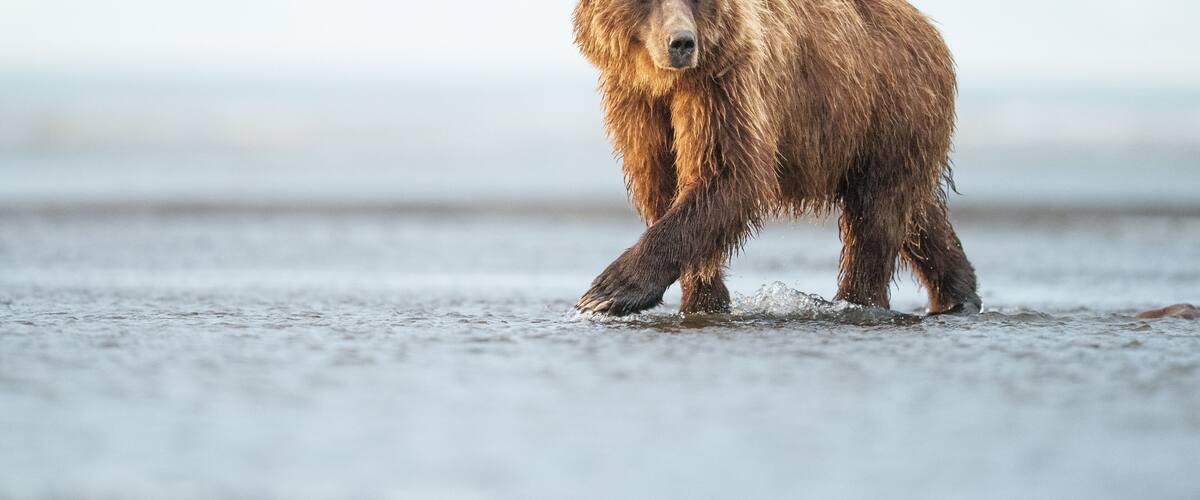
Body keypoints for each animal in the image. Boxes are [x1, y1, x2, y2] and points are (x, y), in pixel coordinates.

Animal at [572, 0, 981, 316]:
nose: (682, 43)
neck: (665, 82)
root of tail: (928, 26)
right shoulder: (638, 104)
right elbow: (663, 185)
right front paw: (706, 300)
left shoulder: (726, 87)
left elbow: (729, 175)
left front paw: (606, 292)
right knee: (917, 213)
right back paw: (959, 293)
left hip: (888, 108)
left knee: (876, 216)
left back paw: (857, 301)